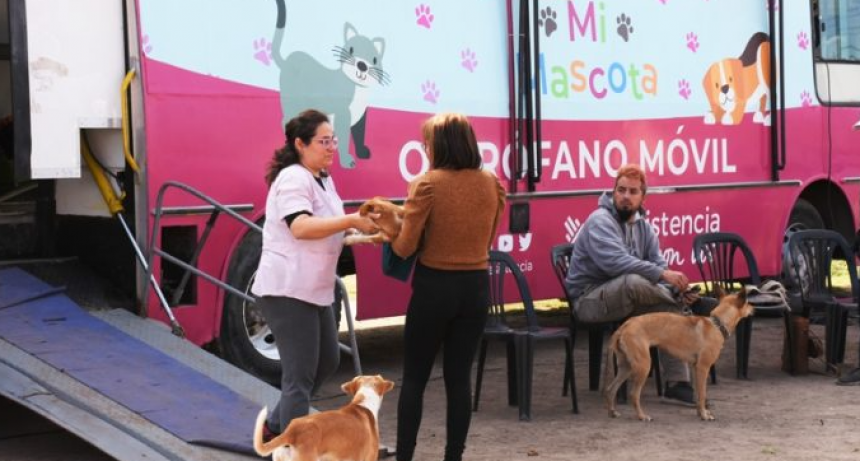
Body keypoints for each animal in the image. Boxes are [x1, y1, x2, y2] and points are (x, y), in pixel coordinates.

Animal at [604, 290, 752, 422]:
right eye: (747, 303)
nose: (754, 308)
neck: (717, 324)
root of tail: (624, 325)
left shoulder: (695, 368)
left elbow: (698, 394)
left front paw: (700, 412)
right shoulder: (703, 368)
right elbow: (702, 394)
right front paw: (704, 415)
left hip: (626, 367)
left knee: (611, 389)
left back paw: (612, 412)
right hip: (644, 366)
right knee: (633, 395)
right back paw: (642, 416)